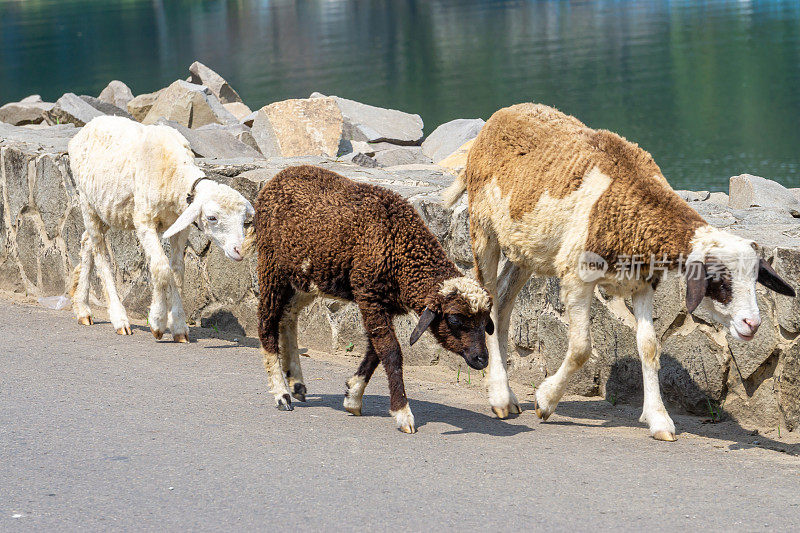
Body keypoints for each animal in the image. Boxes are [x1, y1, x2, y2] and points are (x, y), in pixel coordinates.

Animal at [68, 115, 252, 340]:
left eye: (243, 221)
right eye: (212, 217)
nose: (239, 250)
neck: (174, 176)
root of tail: (88, 126)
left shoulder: (179, 225)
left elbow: (175, 270)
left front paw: (177, 324)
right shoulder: (144, 221)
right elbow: (161, 267)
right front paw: (158, 321)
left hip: (107, 209)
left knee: (87, 241)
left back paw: (83, 309)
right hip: (87, 202)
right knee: (101, 254)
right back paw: (119, 319)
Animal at [255, 165, 494, 432]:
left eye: (485, 322)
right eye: (454, 319)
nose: (482, 359)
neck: (401, 247)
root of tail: (279, 177)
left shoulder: (384, 303)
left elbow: (375, 350)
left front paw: (352, 396)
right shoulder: (369, 293)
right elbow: (390, 351)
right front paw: (402, 413)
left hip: (307, 276)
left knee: (288, 316)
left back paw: (296, 382)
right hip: (271, 264)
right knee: (266, 321)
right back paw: (282, 393)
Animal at [444, 104, 792, 440]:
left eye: (755, 279)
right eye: (719, 280)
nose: (752, 324)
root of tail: (498, 117)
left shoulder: (643, 282)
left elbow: (649, 347)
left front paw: (659, 419)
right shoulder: (576, 275)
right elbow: (582, 349)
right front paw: (546, 400)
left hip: (526, 249)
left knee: (502, 303)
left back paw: (507, 394)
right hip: (484, 229)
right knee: (488, 300)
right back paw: (500, 397)